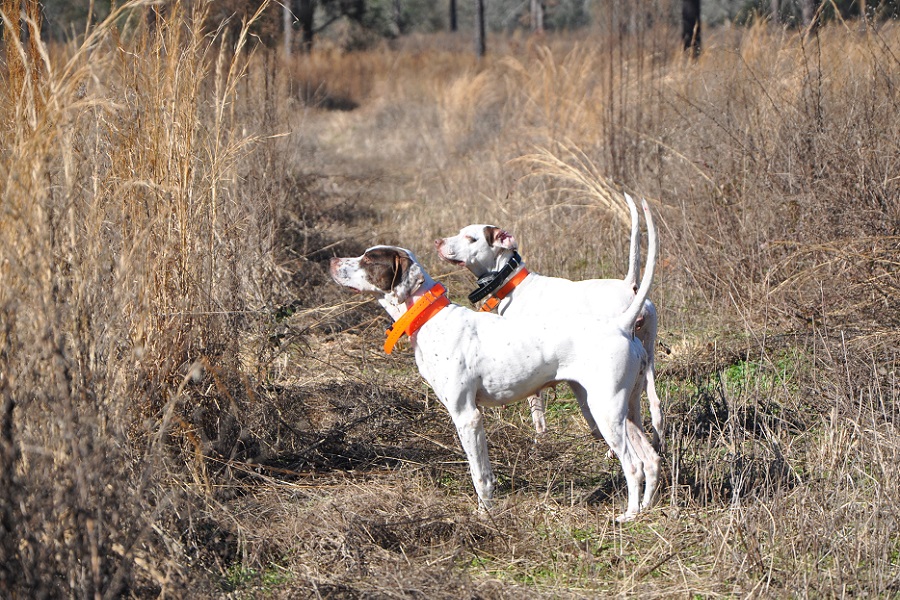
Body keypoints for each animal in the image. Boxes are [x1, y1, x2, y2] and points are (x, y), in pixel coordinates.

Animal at [432, 195, 664, 452]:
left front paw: (540, 437)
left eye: (470, 238)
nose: (438, 242)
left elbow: (535, 405)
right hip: (647, 358)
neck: (514, 284)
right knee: (654, 404)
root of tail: (629, 287)